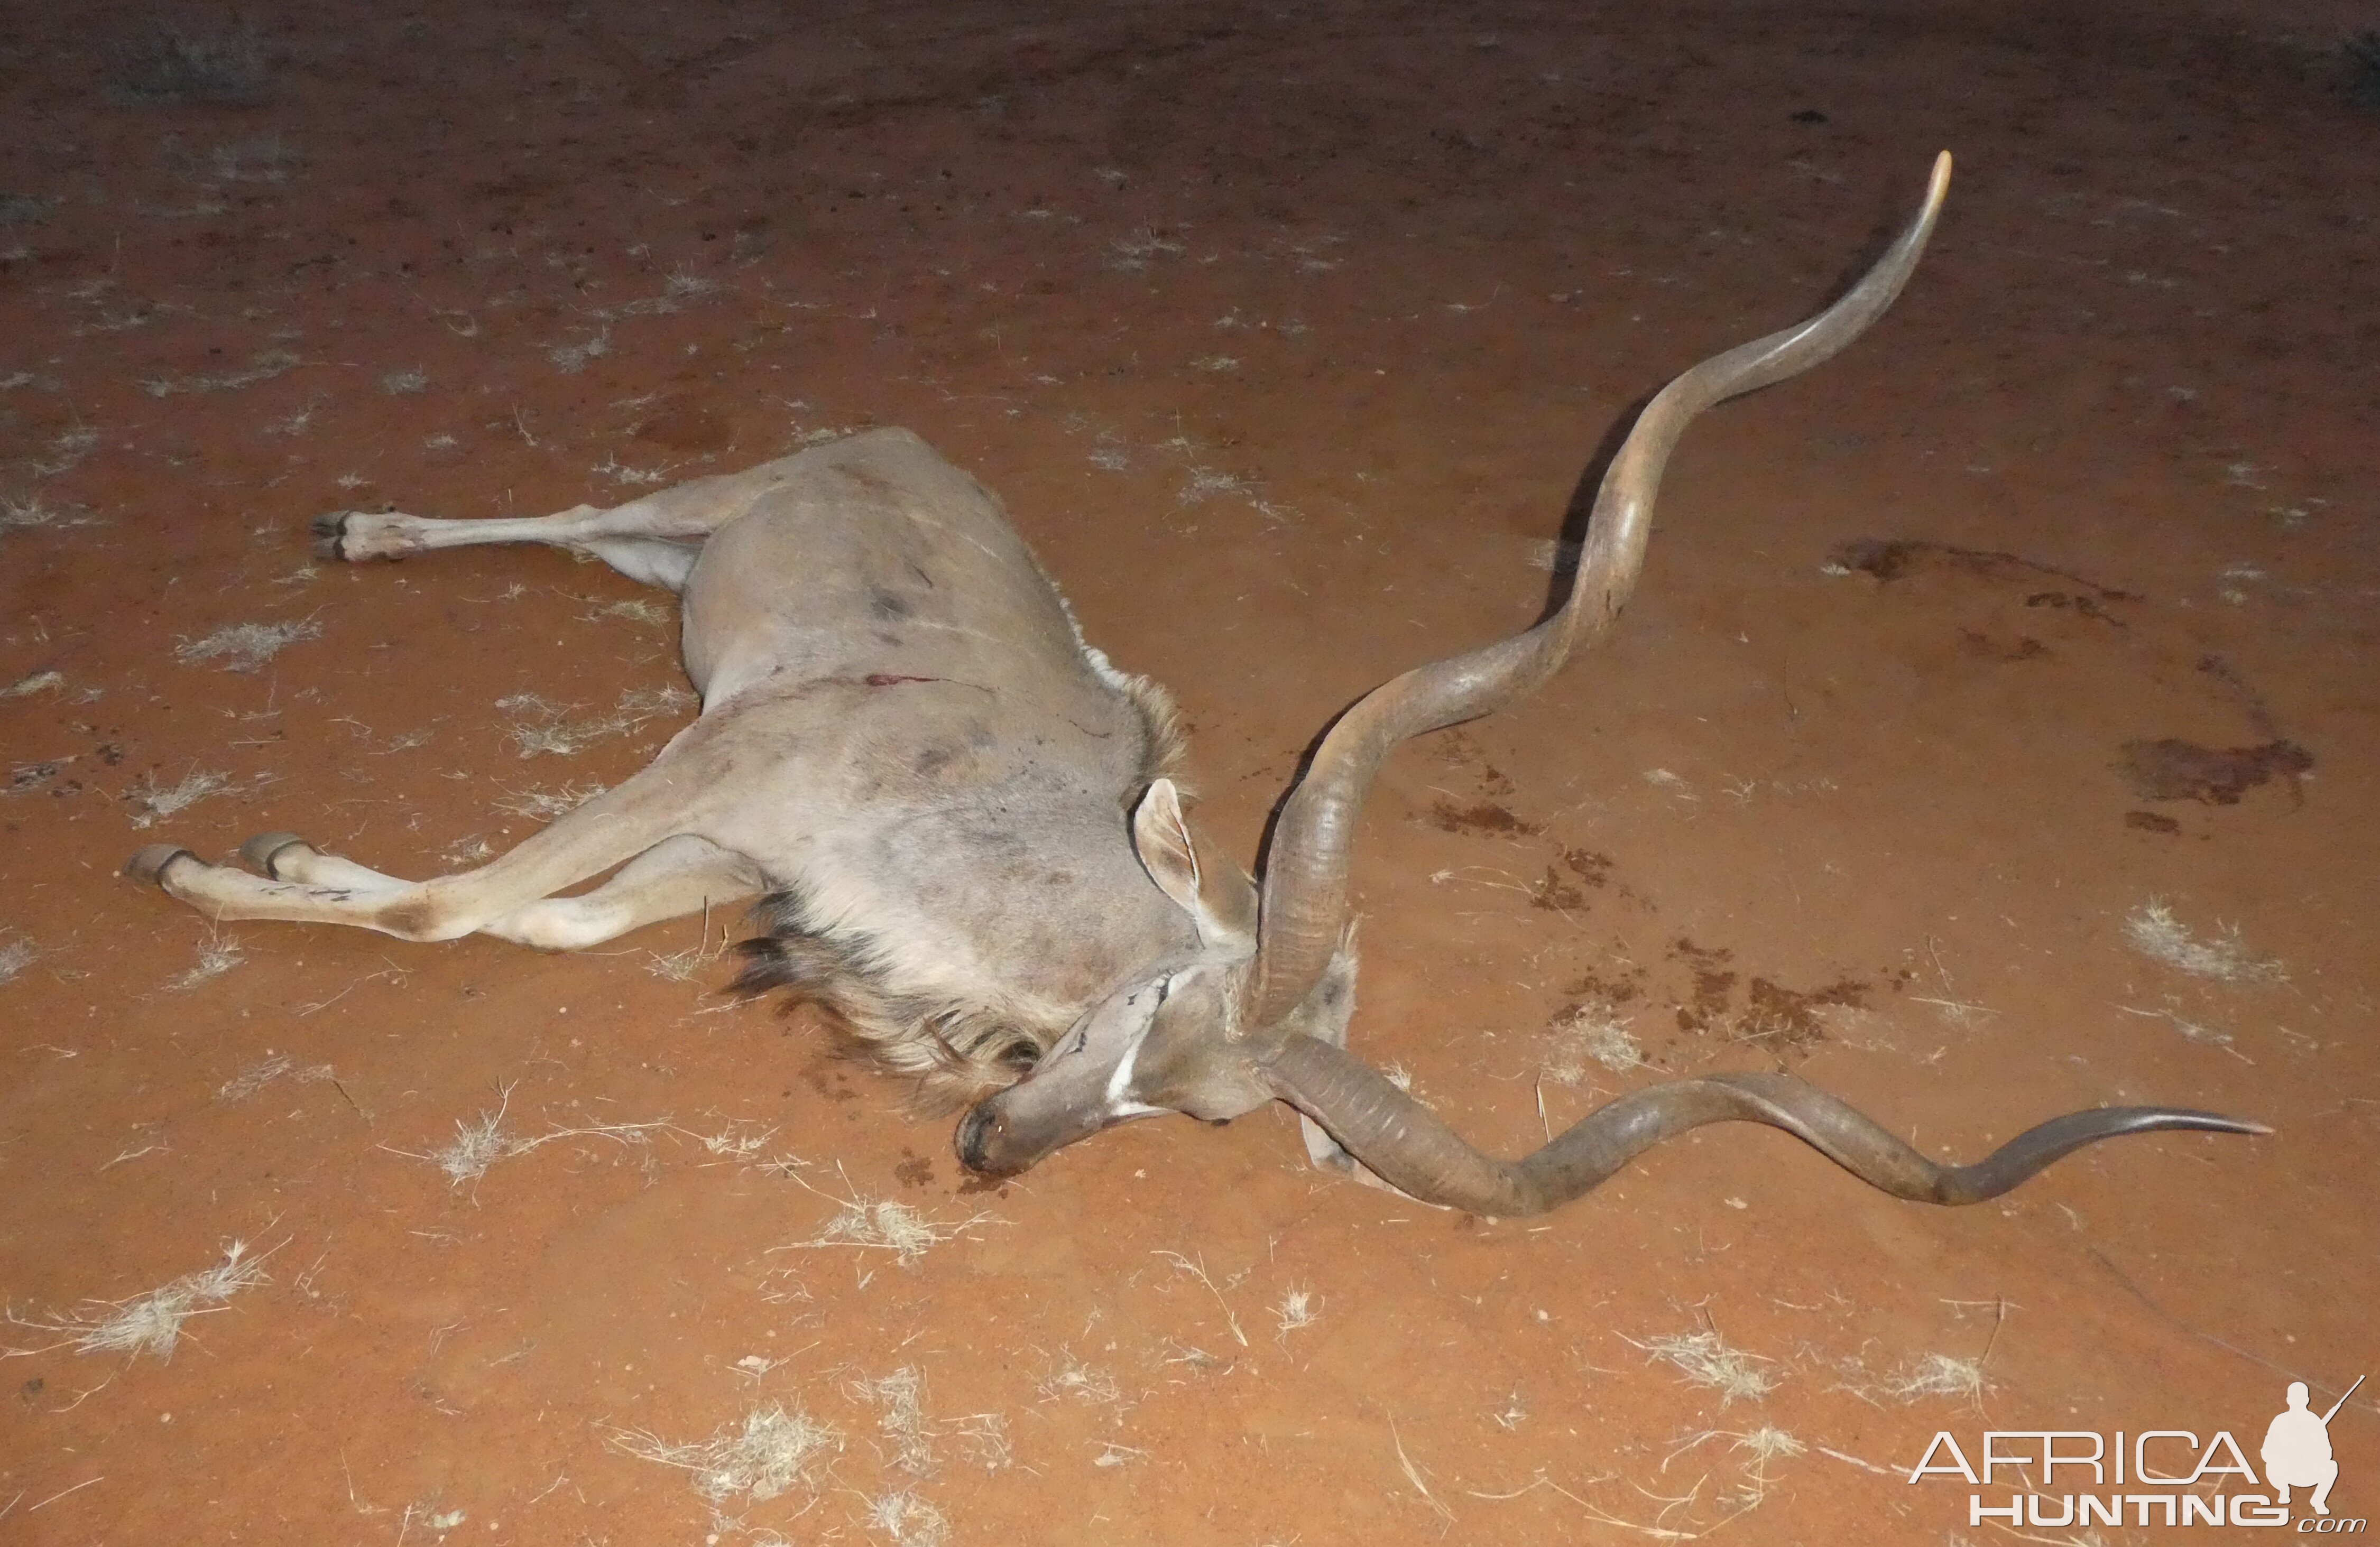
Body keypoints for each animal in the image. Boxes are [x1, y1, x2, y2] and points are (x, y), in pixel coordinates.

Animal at [121, 159, 2256, 1218]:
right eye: (1142, 1021)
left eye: (1189, 1119)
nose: (992, 1156)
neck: (984, 836)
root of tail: (890, 440)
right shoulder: (721, 762)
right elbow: (455, 906)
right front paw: (210, 868)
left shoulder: (731, 856)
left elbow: (525, 923)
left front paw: (273, 859)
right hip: (692, 510)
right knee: (565, 507)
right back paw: (356, 527)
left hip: (677, 576)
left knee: (589, 555)